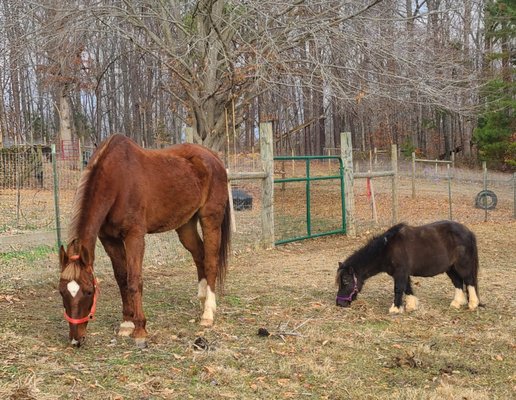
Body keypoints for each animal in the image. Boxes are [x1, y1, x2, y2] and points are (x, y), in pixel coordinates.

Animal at [57, 134, 232, 346]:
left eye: (89, 291)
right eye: (61, 291)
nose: (76, 339)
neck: (117, 181)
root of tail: (213, 157)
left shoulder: (135, 236)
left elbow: (134, 280)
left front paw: (140, 328)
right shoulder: (109, 239)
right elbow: (121, 278)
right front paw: (126, 323)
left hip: (210, 219)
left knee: (211, 262)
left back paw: (208, 313)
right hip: (186, 224)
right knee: (199, 255)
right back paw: (202, 298)